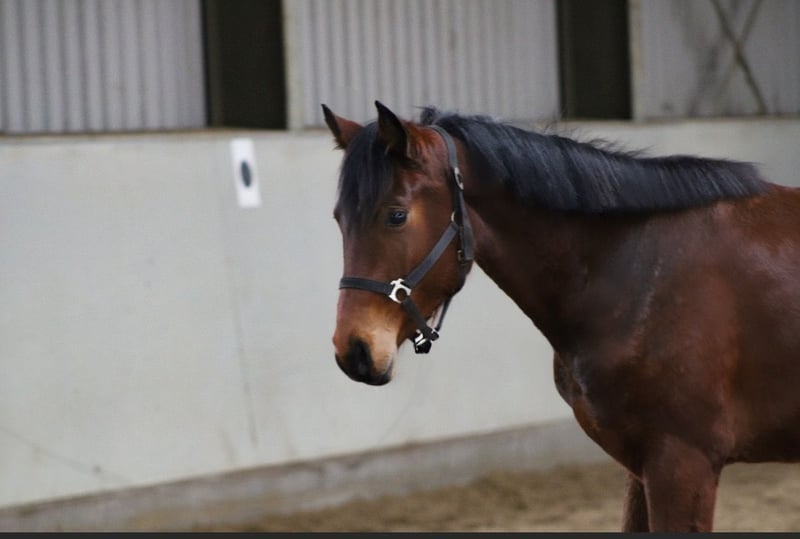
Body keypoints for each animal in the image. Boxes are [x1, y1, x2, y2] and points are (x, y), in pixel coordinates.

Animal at [322, 101, 800, 532]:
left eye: (396, 216)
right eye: (339, 219)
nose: (354, 351)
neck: (637, 265)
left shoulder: (683, 462)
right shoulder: (640, 466)